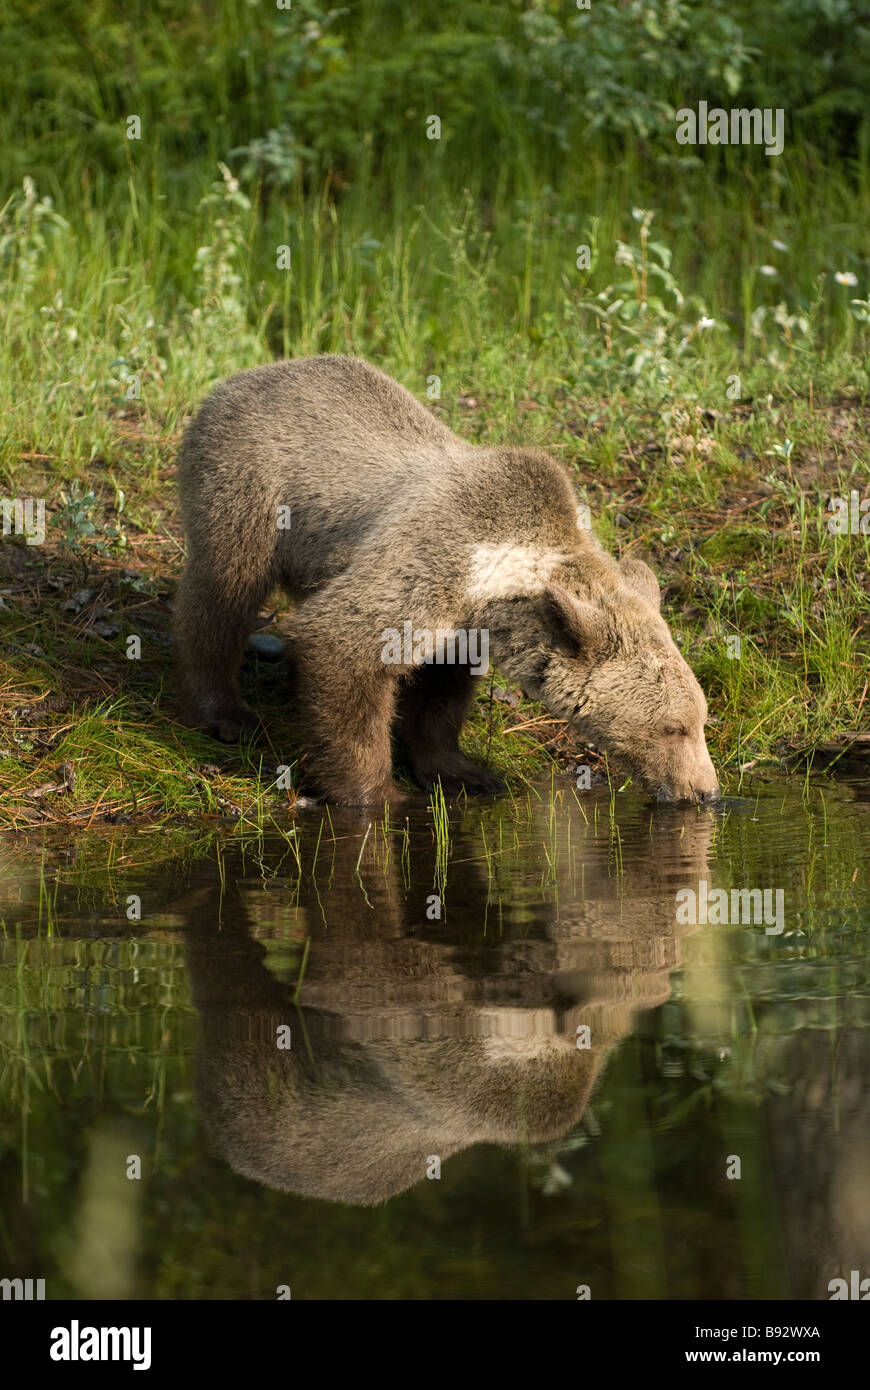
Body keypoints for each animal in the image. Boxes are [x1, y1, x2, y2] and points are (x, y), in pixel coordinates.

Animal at [173, 353, 717, 806]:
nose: (705, 791)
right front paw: (374, 793)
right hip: (249, 487)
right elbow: (343, 644)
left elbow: (439, 695)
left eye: (700, 719)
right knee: (221, 594)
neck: (500, 579)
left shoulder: (462, 622)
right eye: (674, 728)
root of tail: (245, 375)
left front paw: (463, 773)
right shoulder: (431, 563)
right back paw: (225, 713)